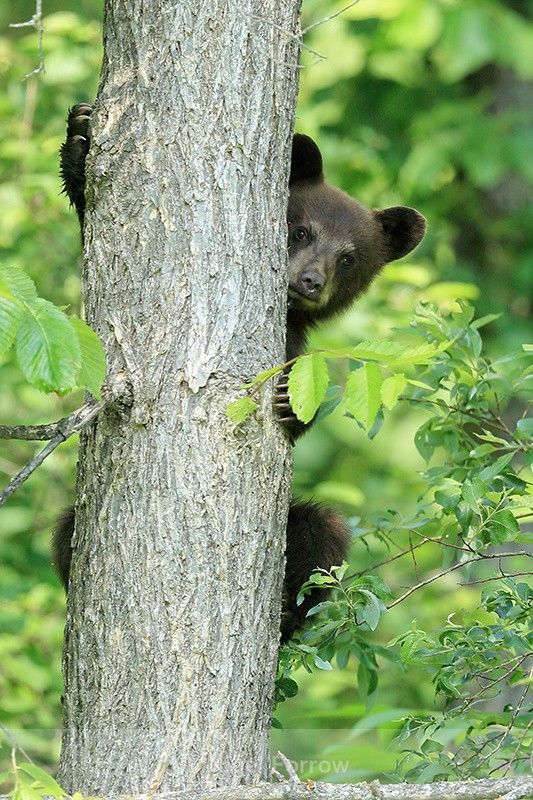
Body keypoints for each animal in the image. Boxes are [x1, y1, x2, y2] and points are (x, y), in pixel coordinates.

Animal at [56, 105, 426, 641]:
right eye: (301, 231)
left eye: (349, 258)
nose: (310, 281)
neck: (289, 315)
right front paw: (80, 140)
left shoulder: (295, 342)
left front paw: (291, 404)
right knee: (65, 530)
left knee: (324, 530)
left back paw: (290, 610)